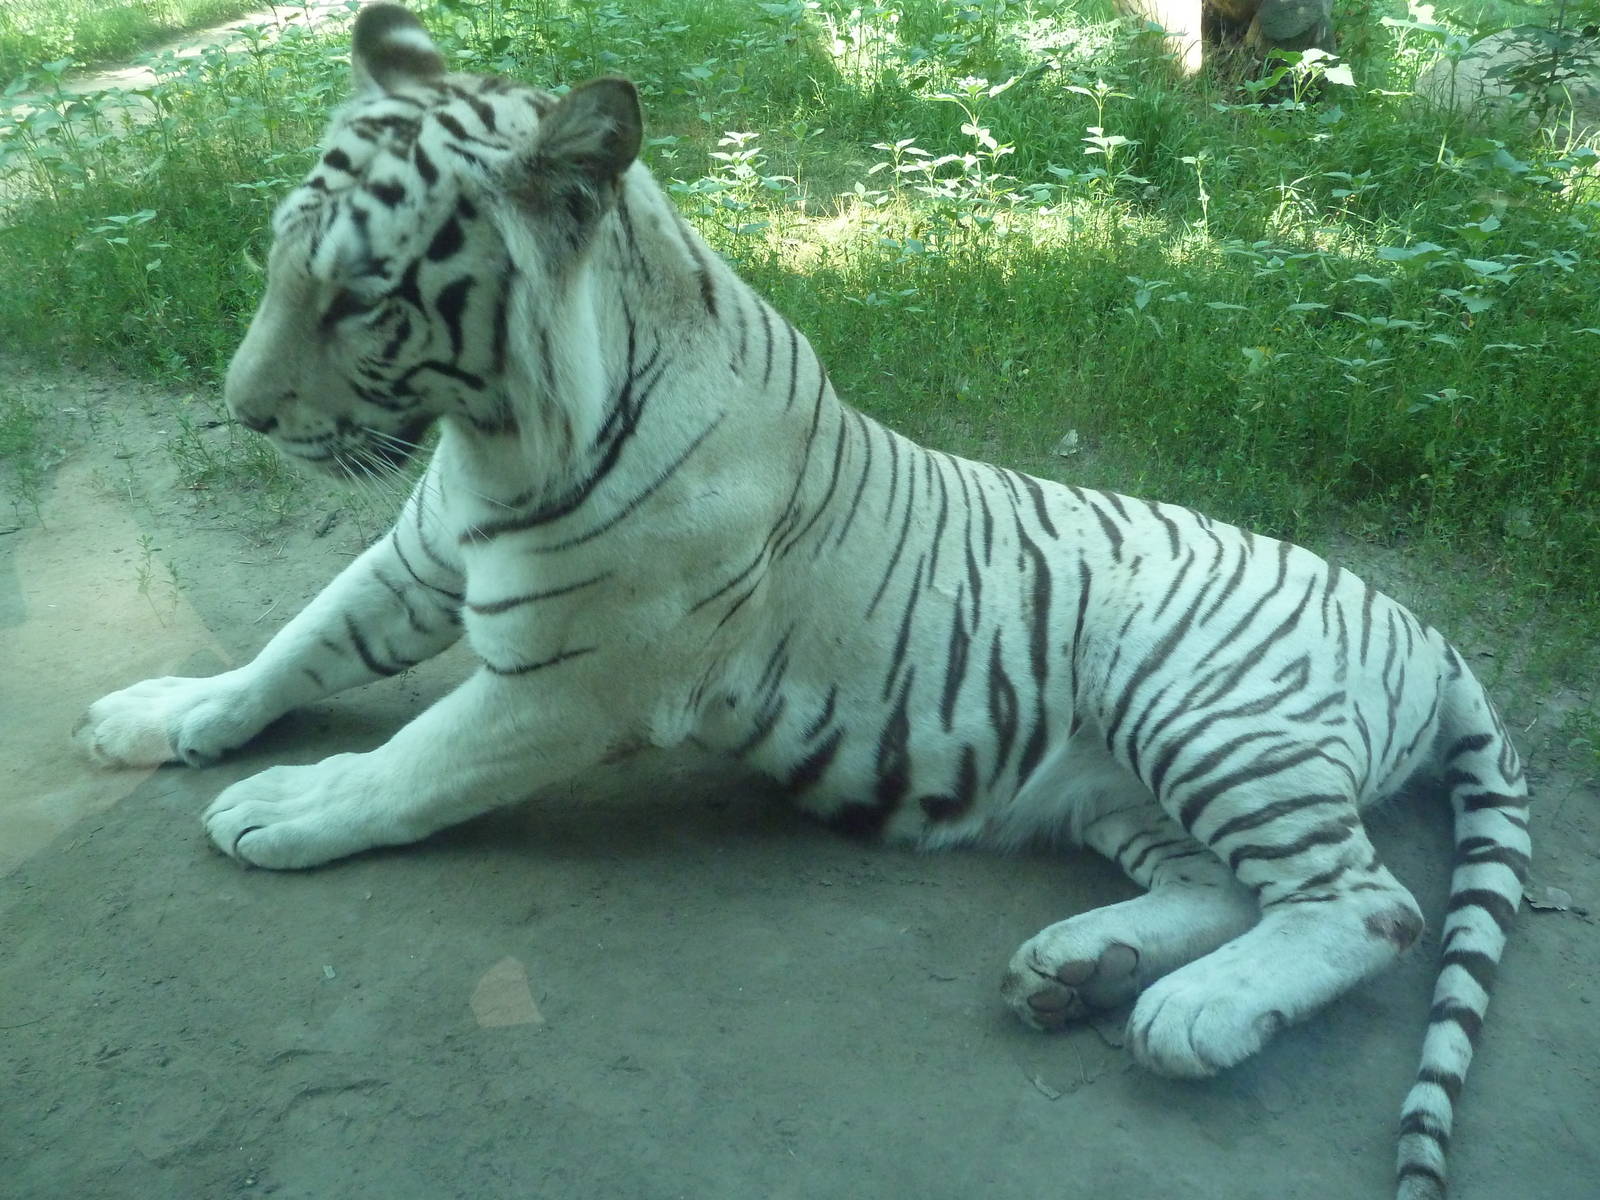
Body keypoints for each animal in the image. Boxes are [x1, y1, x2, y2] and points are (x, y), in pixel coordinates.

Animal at [74, 5, 1529, 1197]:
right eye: (280, 265)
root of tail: (1434, 635)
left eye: (362, 296)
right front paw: (154, 716)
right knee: (1229, 888)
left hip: (1206, 712)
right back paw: (1081, 970)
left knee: (1365, 904)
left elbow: (412, 764)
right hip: (1123, 786)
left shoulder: (578, 678)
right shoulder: (425, 556)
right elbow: (293, 648)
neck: (492, 443)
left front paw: (282, 810)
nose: (241, 412)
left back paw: (1190, 1017)